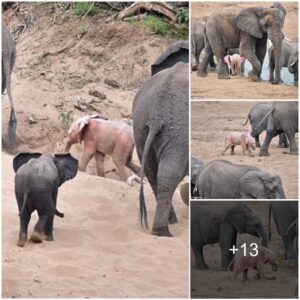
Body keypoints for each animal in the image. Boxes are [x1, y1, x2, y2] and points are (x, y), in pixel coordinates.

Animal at [133, 62, 188, 238]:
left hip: (141, 128)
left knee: (153, 173)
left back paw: (165, 226)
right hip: (178, 131)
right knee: (169, 173)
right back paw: (163, 232)